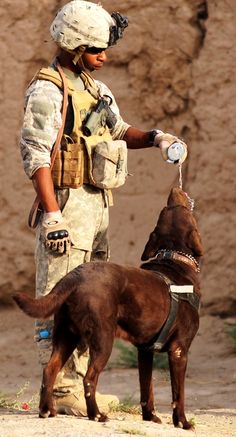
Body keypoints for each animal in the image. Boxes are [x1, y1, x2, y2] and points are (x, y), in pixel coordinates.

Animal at [13, 186, 204, 428]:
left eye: (167, 208)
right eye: (175, 207)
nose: (174, 188)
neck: (174, 257)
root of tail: (75, 275)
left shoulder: (144, 351)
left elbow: (146, 389)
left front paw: (150, 417)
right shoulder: (179, 350)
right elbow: (178, 394)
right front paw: (183, 422)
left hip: (66, 335)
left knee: (50, 369)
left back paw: (47, 410)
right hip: (103, 339)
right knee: (89, 378)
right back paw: (96, 414)